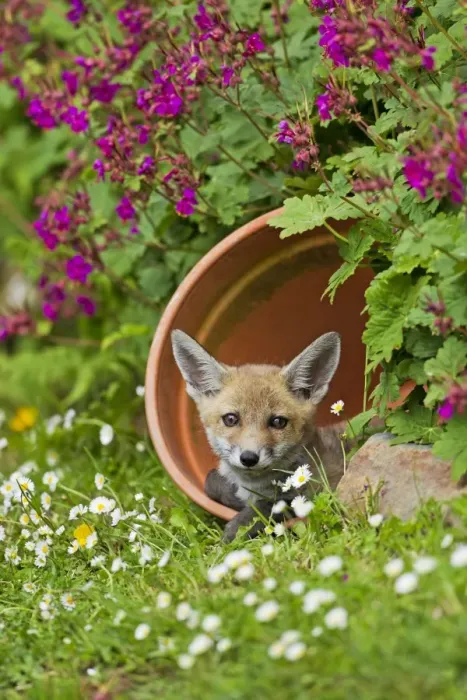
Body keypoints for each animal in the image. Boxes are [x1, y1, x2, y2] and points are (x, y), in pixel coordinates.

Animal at [171, 329, 348, 542]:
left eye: (278, 422)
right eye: (231, 419)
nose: (249, 458)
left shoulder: (319, 490)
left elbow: (272, 504)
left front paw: (235, 531)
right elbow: (210, 481)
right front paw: (234, 498)